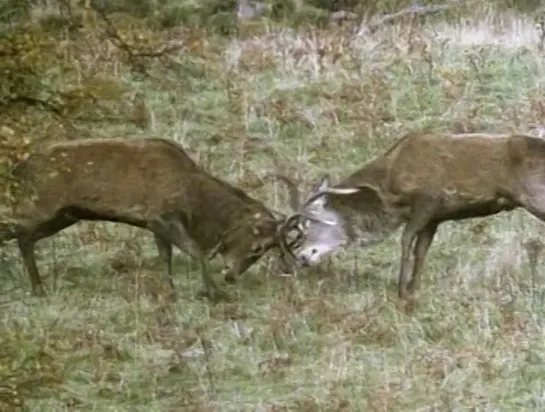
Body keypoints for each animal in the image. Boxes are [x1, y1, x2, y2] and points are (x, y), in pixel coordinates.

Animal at [0, 137, 300, 300]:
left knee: (24, 237)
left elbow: (165, 256)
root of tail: (18, 169)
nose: (231, 276)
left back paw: (38, 287)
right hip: (41, 205)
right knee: (17, 232)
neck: (195, 202)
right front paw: (211, 293)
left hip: (64, 214)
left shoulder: (154, 224)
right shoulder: (163, 215)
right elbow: (195, 251)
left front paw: (170, 292)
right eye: (257, 247)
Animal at [276, 132, 545, 300]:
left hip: (536, 197)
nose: (302, 257)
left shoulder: (428, 199)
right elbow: (421, 250)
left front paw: (401, 290)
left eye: (309, 224)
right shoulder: (435, 216)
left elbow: (406, 242)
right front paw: (414, 288)